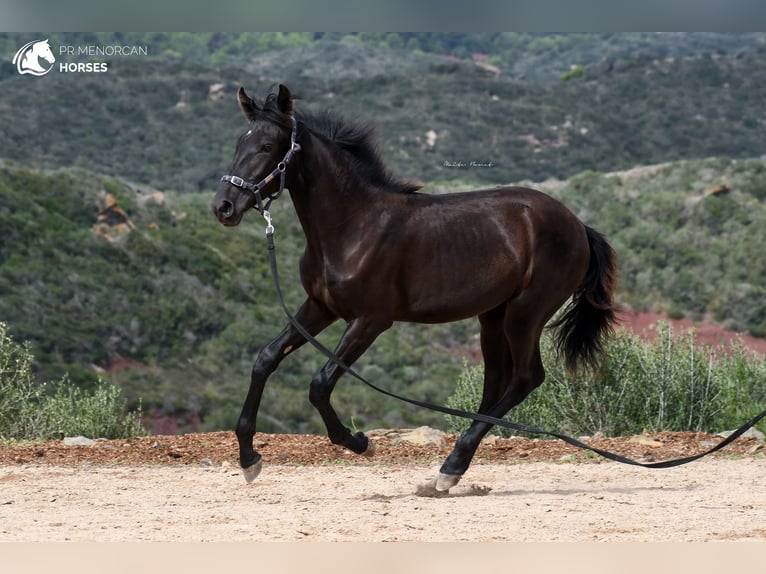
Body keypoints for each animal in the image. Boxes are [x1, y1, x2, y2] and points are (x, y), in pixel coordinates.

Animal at [213, 84, 620, 496]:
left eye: (267, 146)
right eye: (239, 143)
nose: (223, 207)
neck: (353, 227)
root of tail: (578, 226)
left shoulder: (371, 320)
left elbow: (320, 383)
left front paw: (359, 442)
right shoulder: (319, 307)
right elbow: (266, 359)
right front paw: (249, 460)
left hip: (527, 312)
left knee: (525, 378)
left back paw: (450, 467)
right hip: (493, 316)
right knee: (496, 381)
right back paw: (452, 470)